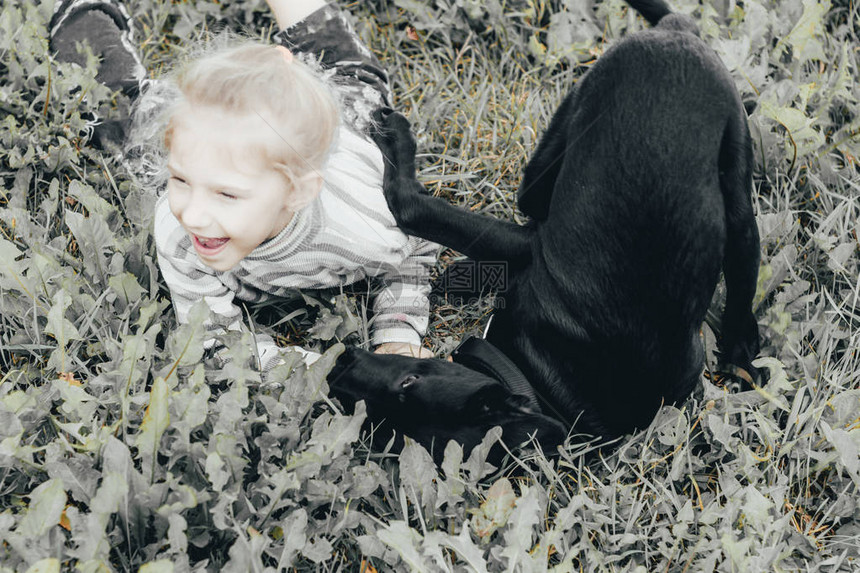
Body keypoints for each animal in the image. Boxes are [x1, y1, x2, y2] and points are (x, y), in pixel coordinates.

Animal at [328, 0, 760, 458]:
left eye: (410, 381)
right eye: (374, 425)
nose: (339, 366)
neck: (551, 395)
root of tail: (677, 31)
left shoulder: (523, 244)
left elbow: (408, 201)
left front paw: (395, 136)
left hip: (551, 155)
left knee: (530, 204)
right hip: (736, 190)